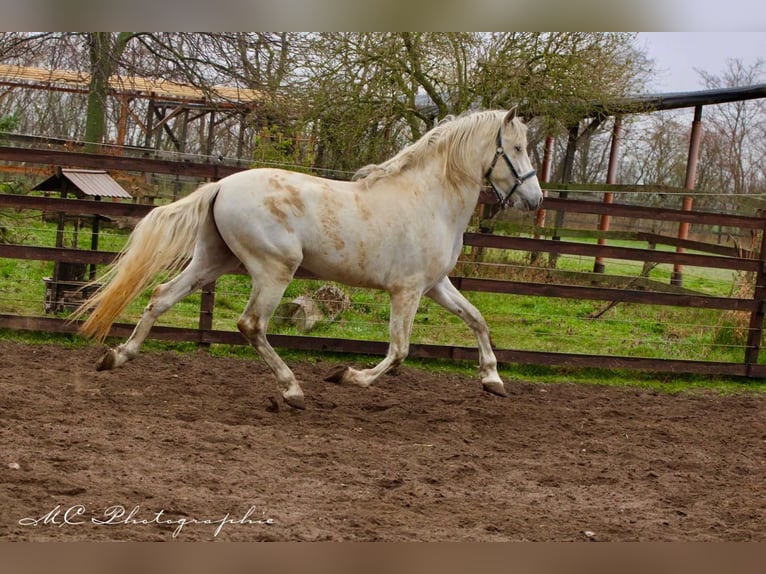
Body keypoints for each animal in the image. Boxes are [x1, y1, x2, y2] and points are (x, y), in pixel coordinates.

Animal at [73, 108, 543, 410]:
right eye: (517, 148)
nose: (537, 199)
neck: (429, 199)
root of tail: (221, 186)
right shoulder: (406, 291)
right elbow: (399, 351)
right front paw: (347, 376)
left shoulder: (436, 285)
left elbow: (477, 320)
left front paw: (493, 380)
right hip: (273, 269)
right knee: (251, 325)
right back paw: (292, 390)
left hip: (213, 261)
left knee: (161, 296)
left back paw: (117, 357)